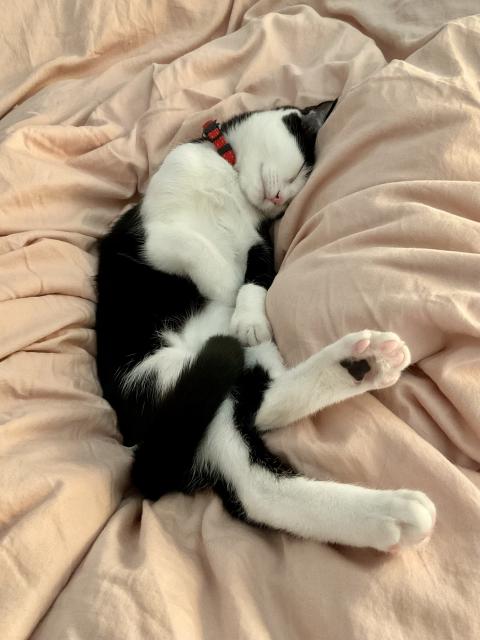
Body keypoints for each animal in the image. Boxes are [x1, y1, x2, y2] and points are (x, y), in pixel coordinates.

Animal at [95, 102, 436, 552]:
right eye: (298, 173)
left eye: (295, 188)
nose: (279, 198)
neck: (229, 180)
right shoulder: (150, 234)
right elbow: (201, 251)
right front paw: (228, 291)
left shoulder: (259, 245)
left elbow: (255, 282)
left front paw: (249, 316)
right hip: (163, 377)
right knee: (255, 475)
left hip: (201, 382)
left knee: (261, 408)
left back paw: (361, 364)